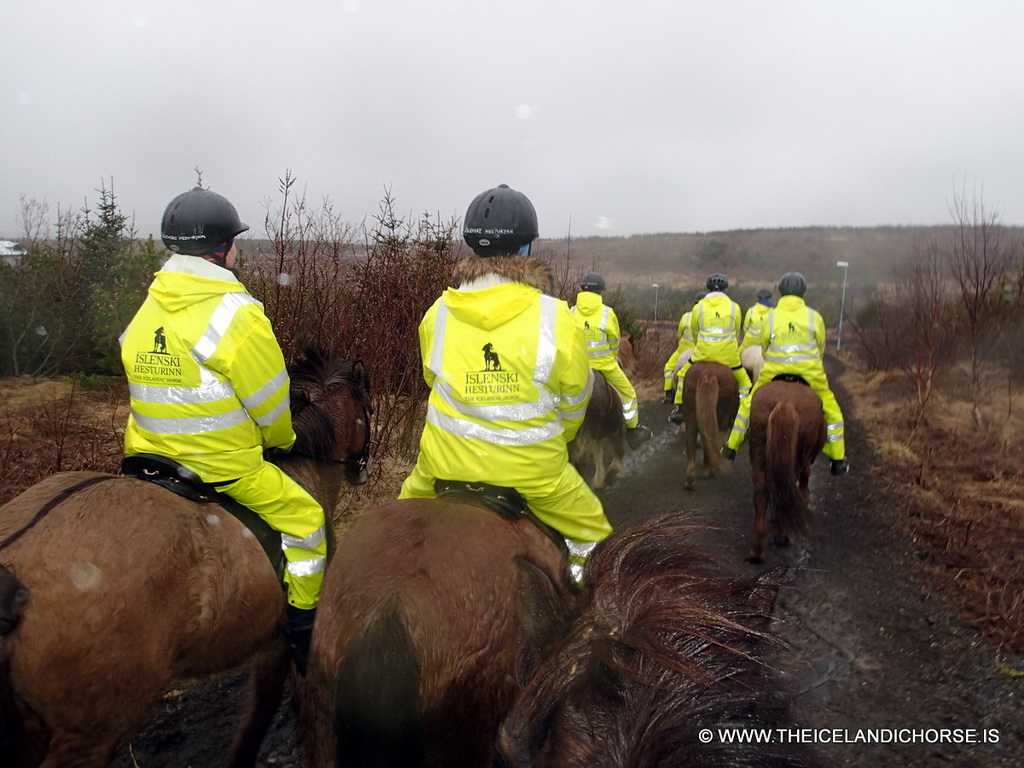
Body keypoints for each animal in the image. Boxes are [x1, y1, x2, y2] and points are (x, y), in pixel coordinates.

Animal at [679, 362, 737, 493]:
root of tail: (708, 375)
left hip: (691, 415)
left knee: (691, 439)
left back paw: (690, 481)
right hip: (721, 419)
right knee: (711, 441)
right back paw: (709, 471)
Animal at [745, 380, 823, 565]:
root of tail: (785, 403)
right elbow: (804, 479)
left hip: (759, 451)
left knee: (762, 490)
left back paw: (757, 546)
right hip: (796, 456)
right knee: (786, 490)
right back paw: (782, 535)